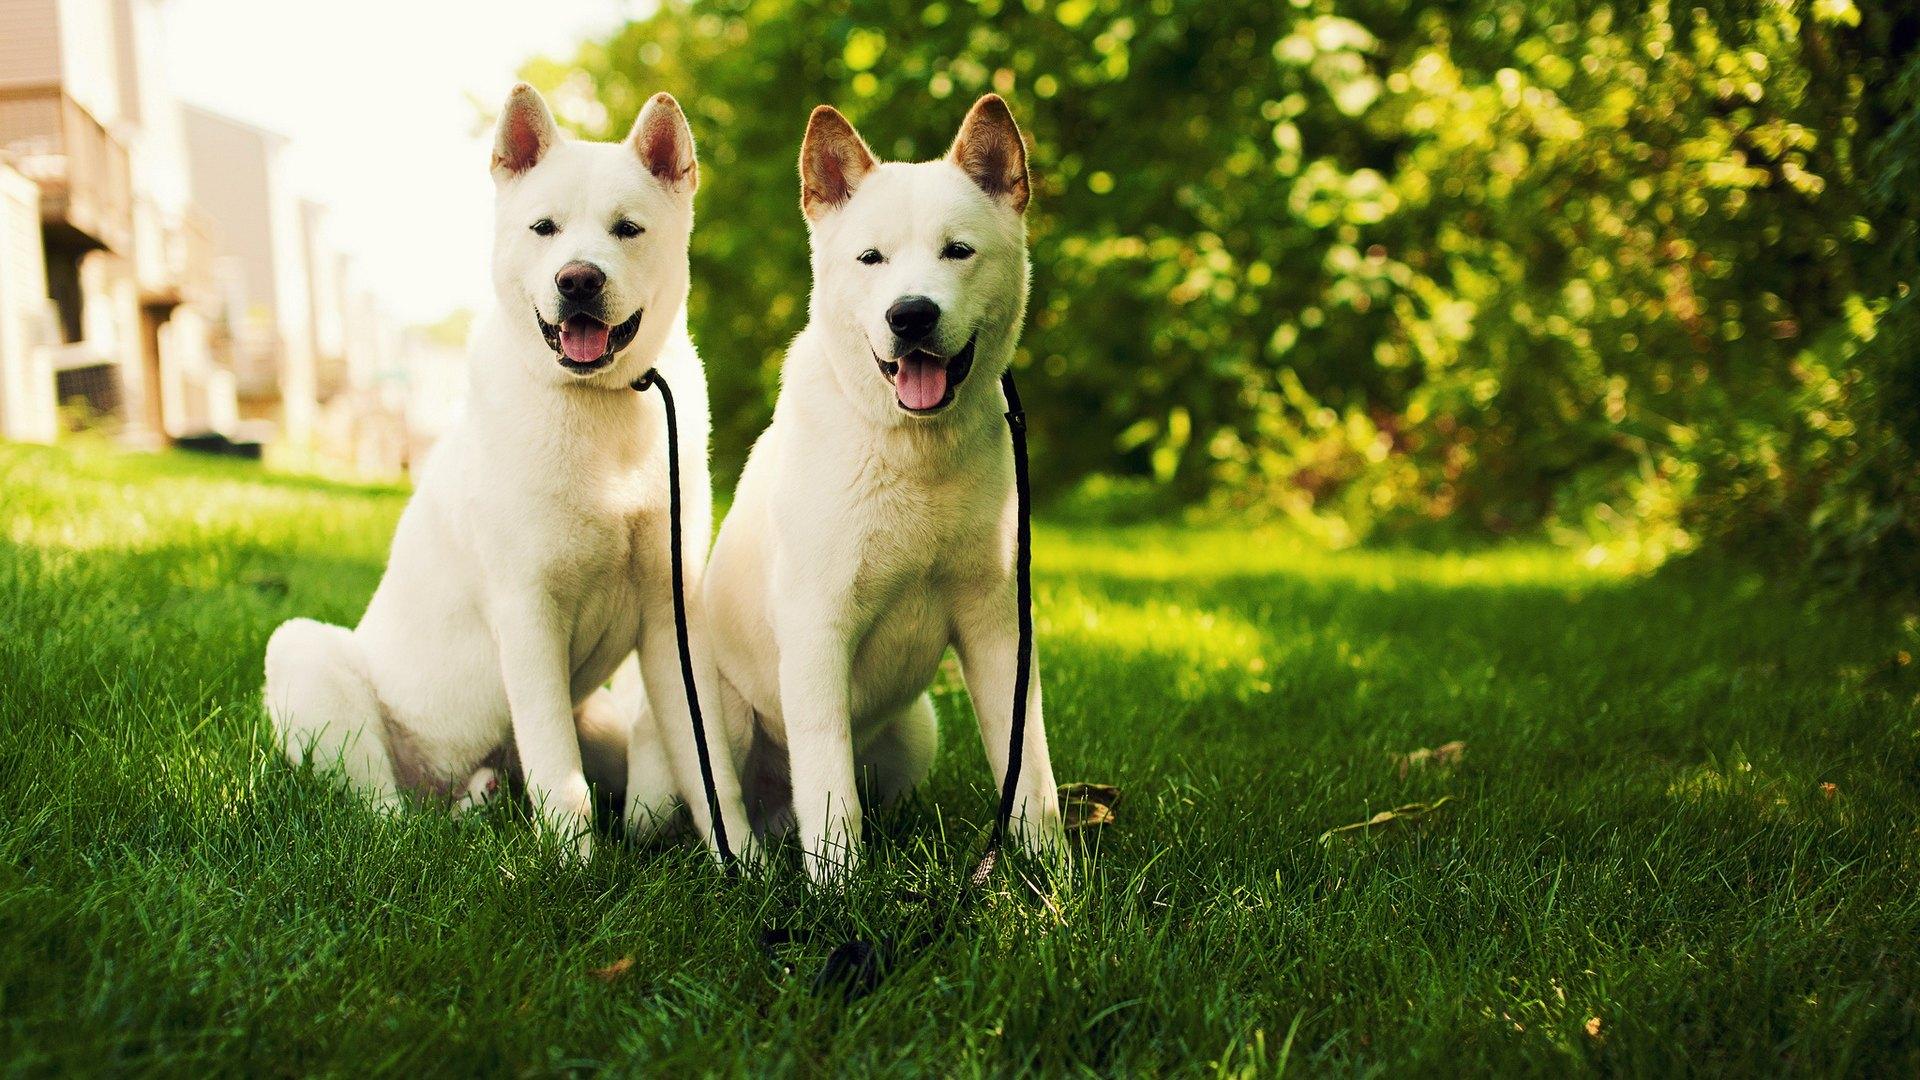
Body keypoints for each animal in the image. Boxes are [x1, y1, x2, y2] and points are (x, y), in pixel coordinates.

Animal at [261, 82, 748, 857]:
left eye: (628, 230)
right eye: (543, 228)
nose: (578, 279)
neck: (597, 405)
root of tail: (442, 782)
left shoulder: (671, 617)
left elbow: (712, 774)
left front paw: (751, 866)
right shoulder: (527, 613)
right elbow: (560, 776)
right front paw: (571, 871)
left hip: (595, 717)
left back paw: (485, 798)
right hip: (305, 655)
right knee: (379, 806)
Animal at [702, 94, 1067, 883]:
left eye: (957, 251)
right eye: (870, 259)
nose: (912, 314)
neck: (911, 452)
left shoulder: (998, 627)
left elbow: (1029, 768)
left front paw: (1051, 875)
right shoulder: (816, 629)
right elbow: (830, 789)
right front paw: (840, 891)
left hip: (915, 732)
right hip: (715, 728)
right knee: (726, 810)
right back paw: (750, 866)